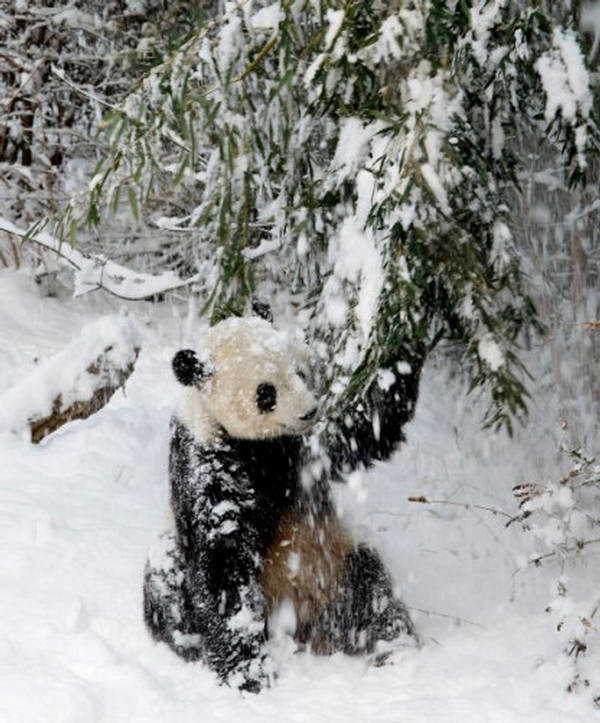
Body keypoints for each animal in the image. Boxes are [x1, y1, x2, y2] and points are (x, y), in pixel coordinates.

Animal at [144, 314, 422, 692]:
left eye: (300, 372)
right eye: (266, 392)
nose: (309, 411)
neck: (261, 448)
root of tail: (308, 632)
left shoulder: (307, 451)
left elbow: (364, 431)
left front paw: (408, 347)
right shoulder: (205, 465)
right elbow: (222, 564)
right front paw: (250, 677)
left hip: (338, 566)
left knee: (371, 593)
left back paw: (396, 650)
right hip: (172, 569)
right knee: (166, 590)